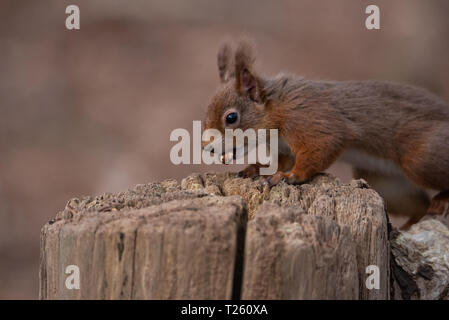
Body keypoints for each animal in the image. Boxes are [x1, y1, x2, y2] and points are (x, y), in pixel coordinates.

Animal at [203, 38, 448, 228]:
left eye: (231, 118)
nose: (208, 148)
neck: (278, 107)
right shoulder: (285, 147)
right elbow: (281, 161)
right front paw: (255, 169)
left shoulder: (310, 119)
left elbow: (324, 145)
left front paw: (290, 176)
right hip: (386, 183)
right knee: (418, 207)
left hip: (421, 159)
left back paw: (441, 200)